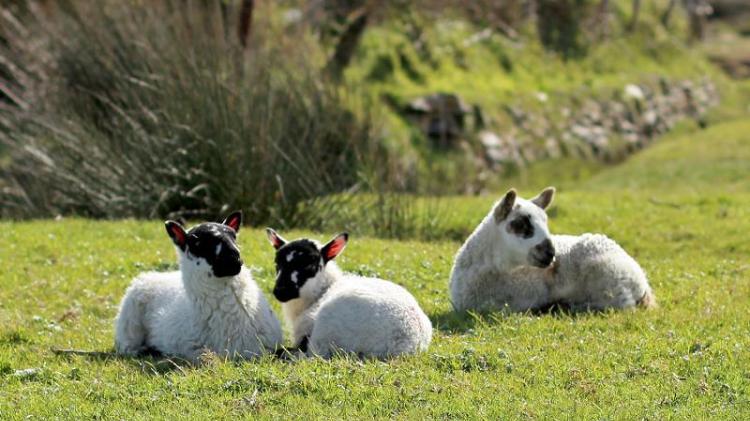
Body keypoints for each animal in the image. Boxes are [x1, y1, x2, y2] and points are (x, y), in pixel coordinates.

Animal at [114, 212, 283, 363]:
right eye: (196, 242)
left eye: (234, 236)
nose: (233, 257)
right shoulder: (191, 348)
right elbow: (208, 358)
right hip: (129, 324)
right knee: (126, 346)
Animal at [449, 187, 655, 313]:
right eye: (519, 224)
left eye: (546, 221)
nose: (550, 253)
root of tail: (641, 281)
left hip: (609, 276)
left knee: (620, 304)